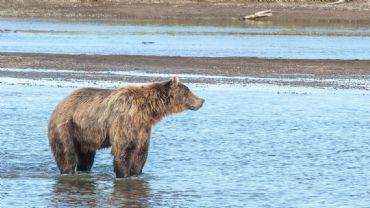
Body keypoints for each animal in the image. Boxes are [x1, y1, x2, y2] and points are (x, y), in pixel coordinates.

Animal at [47, 77, 204, 178]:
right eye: (188, 91)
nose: (202, 100)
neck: (147, 111)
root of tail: (59, 104)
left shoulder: (142, 128)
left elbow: (141, 152)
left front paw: (136, 173)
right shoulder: (125, 122)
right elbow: (123, 150)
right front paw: (123, 174)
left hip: (85, 134)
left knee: (86, 156)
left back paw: (84, 170)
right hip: (67, 127)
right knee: (67, 153)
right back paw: (68, 171)